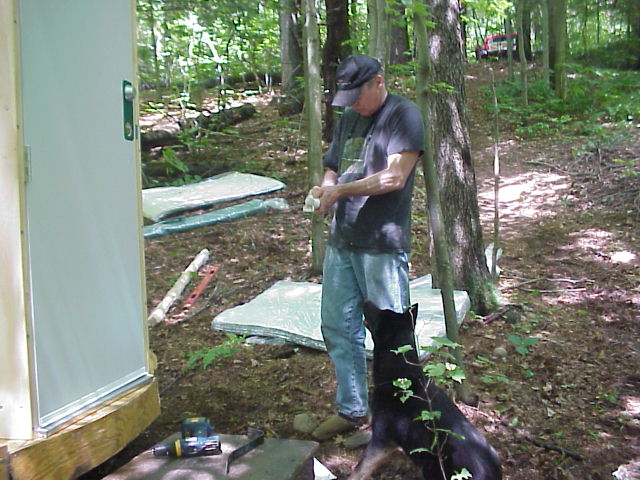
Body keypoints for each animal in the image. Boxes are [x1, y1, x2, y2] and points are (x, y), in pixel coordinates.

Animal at [348, 302, 502, 480]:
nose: (364, 301)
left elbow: (360, 469)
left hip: (431, 469)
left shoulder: (381, 439)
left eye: (380, 313)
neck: (402, 373)